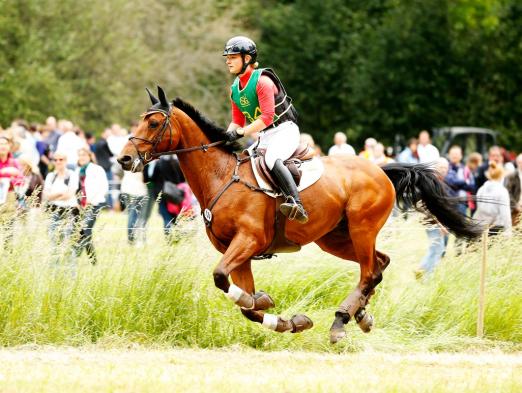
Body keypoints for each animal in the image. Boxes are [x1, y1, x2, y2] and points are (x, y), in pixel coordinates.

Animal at [118, 86, 480, 344]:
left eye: (153, 122)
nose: (123, 159)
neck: (221, 177)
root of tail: (380, 170)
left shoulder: (248, 241)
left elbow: (223, 279)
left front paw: (263, 302)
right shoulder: (238, 252)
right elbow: (246, 306)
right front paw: (285, 319)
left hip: (361, 229)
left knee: (368, 272)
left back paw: (341, 321)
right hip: (334, 238)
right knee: (379, 264)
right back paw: (360, 315)